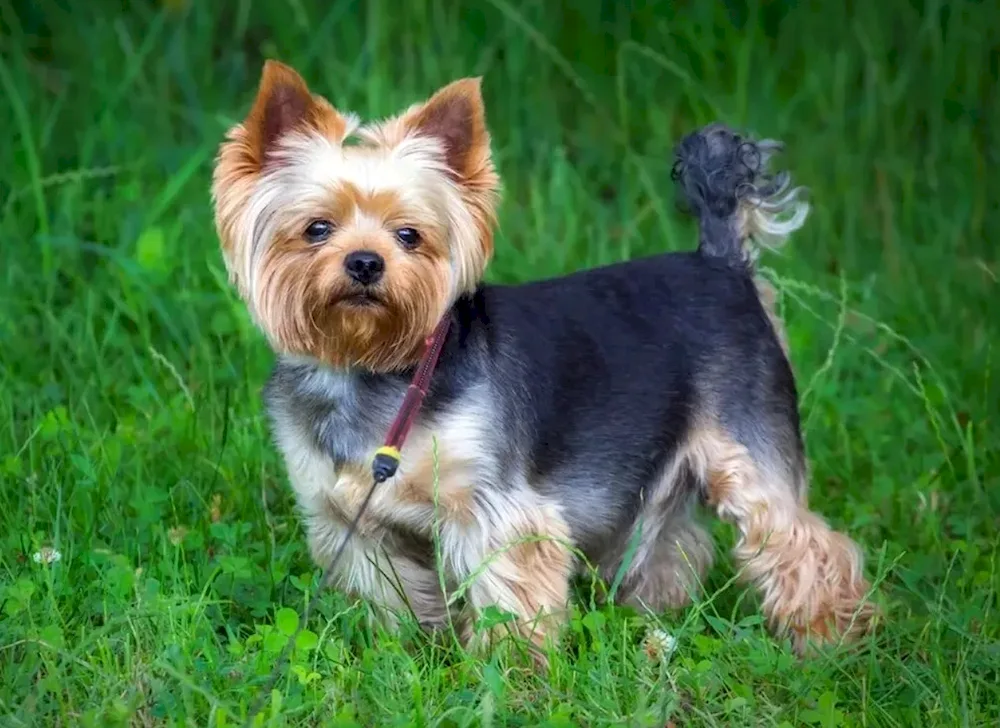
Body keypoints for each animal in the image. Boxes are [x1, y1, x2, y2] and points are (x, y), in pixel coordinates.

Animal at [211, 59, 876, 656]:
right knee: (674, 541)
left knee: (801, 540)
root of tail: (722, 261)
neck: (371, 367)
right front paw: (402, 654)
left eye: (409, 235)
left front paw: (510, 675)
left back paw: (829, 637)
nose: (366, 263)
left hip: (747, 449)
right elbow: (390, 595)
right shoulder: (352, 520)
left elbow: (508, 597)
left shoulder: (495, 511)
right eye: (317, 228)